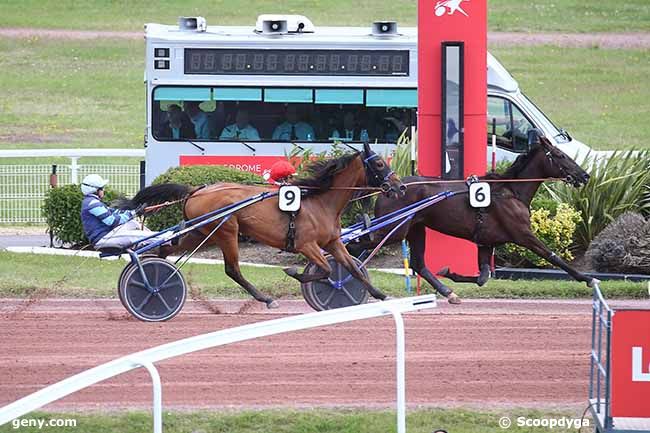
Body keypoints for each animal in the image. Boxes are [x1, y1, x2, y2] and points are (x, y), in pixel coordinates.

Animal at [119, 143, 402, 308]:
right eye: (379, 163)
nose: (398, 187)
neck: (320, 201)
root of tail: (196, 189)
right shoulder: (306, 244)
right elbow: (325, 270)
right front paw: (294, 272)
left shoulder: (332, 242)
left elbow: (353, 269)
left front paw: (379, 294)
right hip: (226, 230)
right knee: (232, 269)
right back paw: (265, 298)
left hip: (201, 232)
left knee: (165, 251)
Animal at [364, 136, 592, 304]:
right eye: (560, 155)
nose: (585, 175)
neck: (511, 192)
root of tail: (389, 189)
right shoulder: (523, 235)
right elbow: (552, 256)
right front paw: (588, 278)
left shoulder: (486, 242)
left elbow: (482, 277)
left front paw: (451, 273)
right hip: (394, 229)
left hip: (415, 228)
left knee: (419, 264)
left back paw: (449, 293)